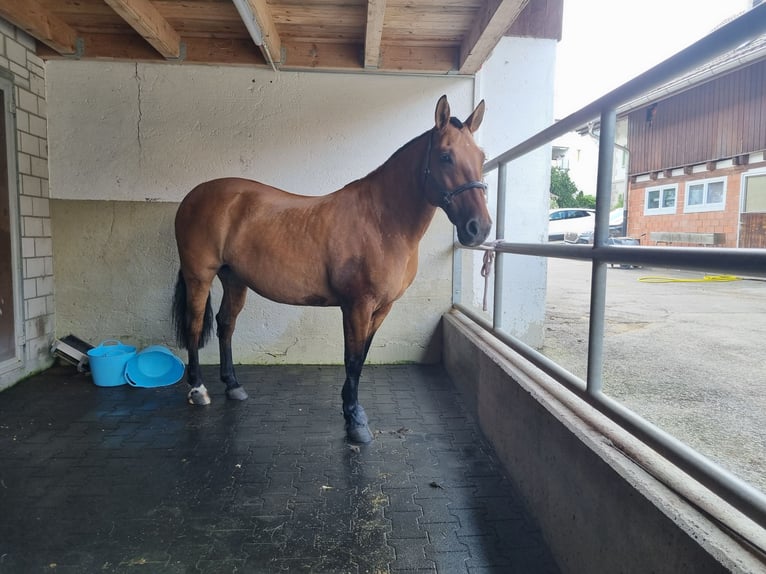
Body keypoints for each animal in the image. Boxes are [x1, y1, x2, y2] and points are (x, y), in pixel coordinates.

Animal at [172, 95, 492, 446]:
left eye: (482, 157)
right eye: (446, 156)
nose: (479, 228)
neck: (381, 222)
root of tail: (193, 196)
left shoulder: (382, 308)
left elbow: (362, 357)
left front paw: (353, 412)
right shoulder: (357, 306)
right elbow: (351, 360)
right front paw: (354, 422)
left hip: (234, 278)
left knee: (226, 323)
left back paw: (233, 385)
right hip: (199, 275)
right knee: (195, 325)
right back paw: (198, 390)